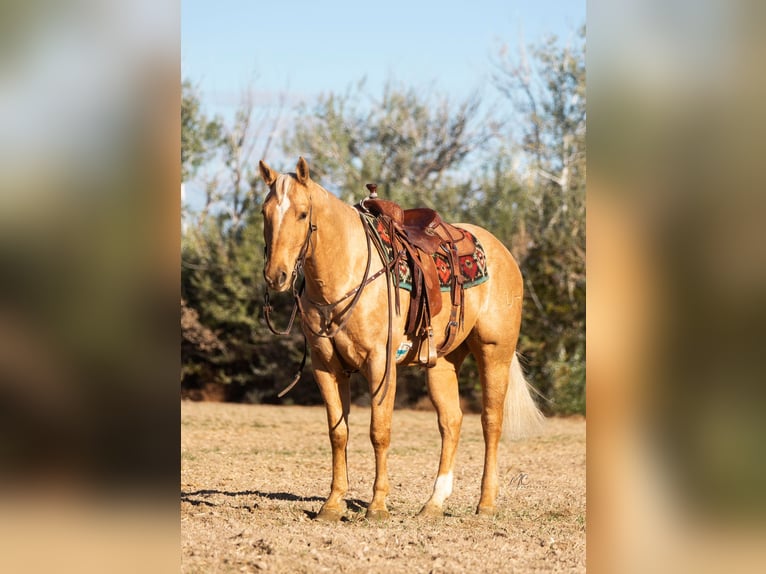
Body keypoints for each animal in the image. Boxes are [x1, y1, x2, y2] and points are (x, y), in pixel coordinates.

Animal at [260, 158, 544, 520]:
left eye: (301, 213)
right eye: (264, 212)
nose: (276, 275)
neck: (347, 271)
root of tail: (504, 254)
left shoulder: (380, 363)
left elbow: (379, 431)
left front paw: (377, 505)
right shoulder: (326, 366)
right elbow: (339, 432)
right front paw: (333, 504)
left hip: (495, 353)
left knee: (491, 422)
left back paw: (486, 503)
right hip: (442, 363)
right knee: (451, 422)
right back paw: (434, 503)